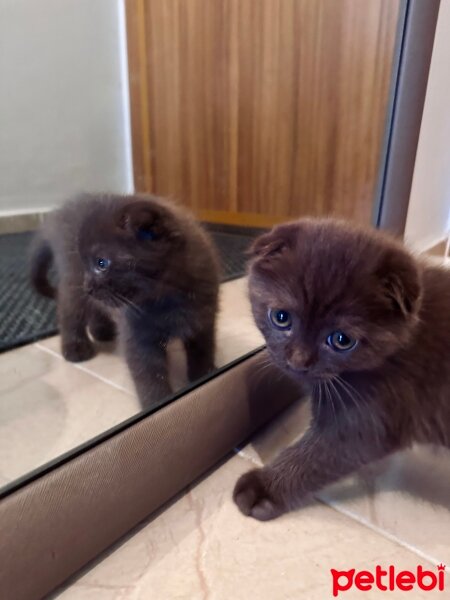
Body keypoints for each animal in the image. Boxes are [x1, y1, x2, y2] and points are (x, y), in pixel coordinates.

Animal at [29, 192, 220, 408]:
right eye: (91, 262)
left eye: (101, 263)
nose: (88, 286)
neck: (169, 297)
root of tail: (59, 212)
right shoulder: (138, 336)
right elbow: (149, 375)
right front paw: (157, 402)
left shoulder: (203, 318)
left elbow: (203, 351)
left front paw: (204, 376)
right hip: (73, 281)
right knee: (70, 311)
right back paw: (75, 348)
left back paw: (102, 331)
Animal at [234, 218, 448, 516]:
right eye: (281, 317)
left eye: (341, 340)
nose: (298, 360)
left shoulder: (373, 412)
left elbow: (316, 456)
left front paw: (263, 487)